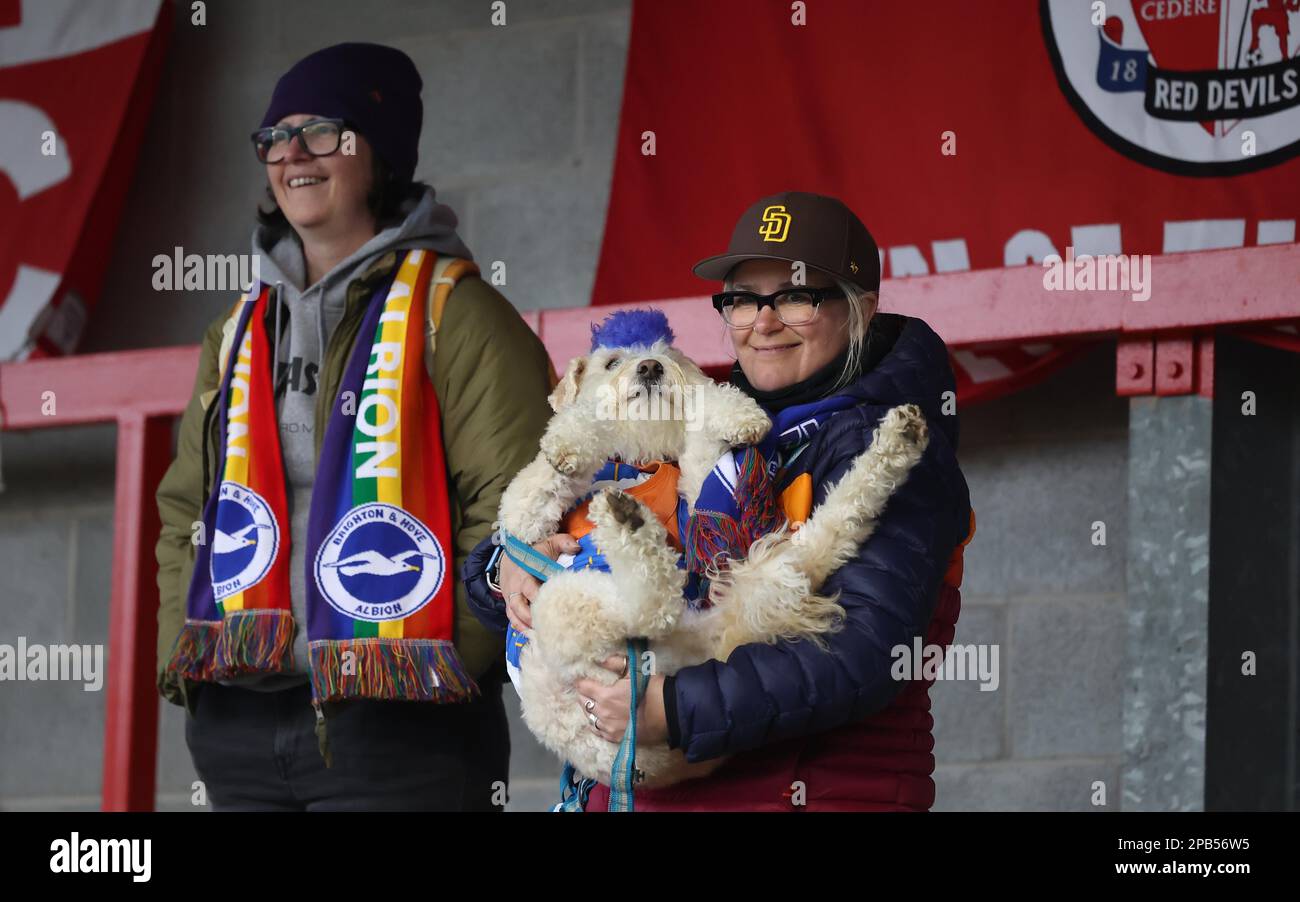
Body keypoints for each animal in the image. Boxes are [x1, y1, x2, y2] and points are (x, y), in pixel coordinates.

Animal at [491, 328, 930, 790]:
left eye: (666, 355)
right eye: (611, 362)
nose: (650, 368)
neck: (639, 461)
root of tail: (721, 642)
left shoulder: (701, 498)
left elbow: (703, 445)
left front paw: (736, 413)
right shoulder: (523, 517)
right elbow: (551, 469)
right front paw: (571, 440)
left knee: (655, 606)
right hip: (566, 613)